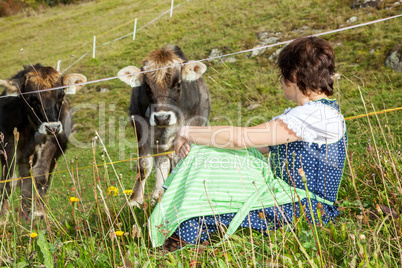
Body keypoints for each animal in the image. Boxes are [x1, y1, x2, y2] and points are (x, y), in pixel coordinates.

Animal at [118, 45, 210, 206]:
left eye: (178, 84)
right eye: (146, 87)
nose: (162, 118)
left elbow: (178, 161)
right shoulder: (141, 128)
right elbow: (144, 165)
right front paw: (135, 200)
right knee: (161, 161)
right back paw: (157, 194)